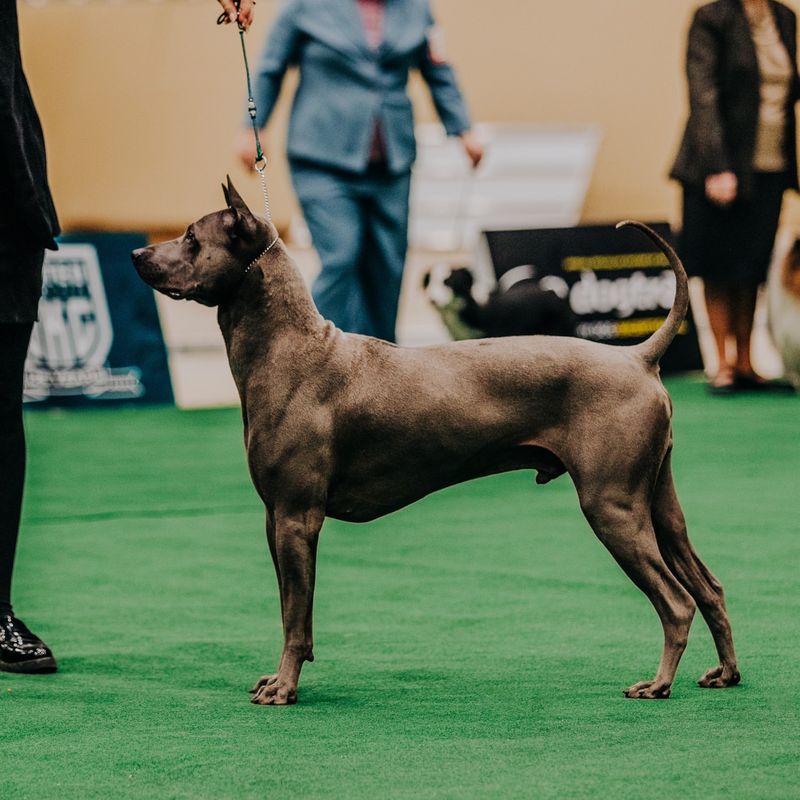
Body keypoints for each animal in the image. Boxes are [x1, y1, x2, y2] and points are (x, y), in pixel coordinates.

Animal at [130, 180, 736, 708]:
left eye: (191, 236)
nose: (136, 252)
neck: (290, 349)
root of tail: (638, 357)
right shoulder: (273, 518)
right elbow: (289, 610)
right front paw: (279, 677)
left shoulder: (296, 519)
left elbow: (295, 620)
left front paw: (284, 687)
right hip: (657, 504)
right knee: (709, 588)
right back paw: (725, 673)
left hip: (612, 506)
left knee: (677, 602)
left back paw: (658, 684)